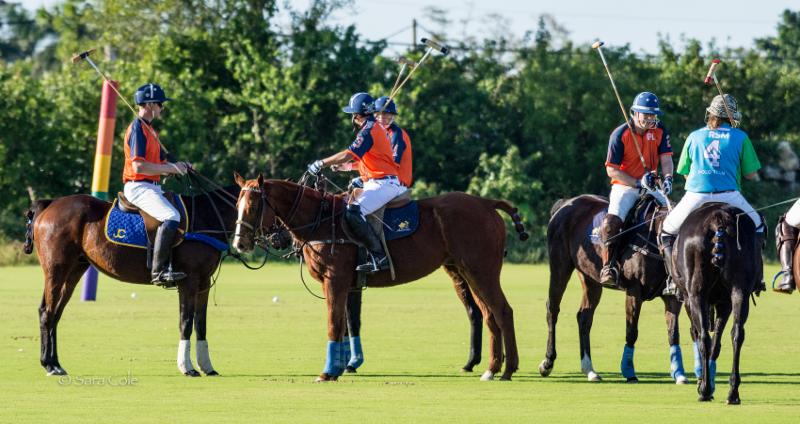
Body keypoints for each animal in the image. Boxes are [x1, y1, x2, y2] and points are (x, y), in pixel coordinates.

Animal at [23, 181, 240, 377]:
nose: (242, 244)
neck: (207, 216)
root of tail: (49, 205)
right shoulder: (189, 280)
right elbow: (186, 321)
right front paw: (188, 368)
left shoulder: (204, 281)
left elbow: (200, 322)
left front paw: (207, 367)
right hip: (56, 269)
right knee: (47, 312)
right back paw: (49, 365)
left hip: (75, 268)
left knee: (55, 312)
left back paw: (55, 363)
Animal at [231, 173, 528, 381]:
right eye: (237, 204)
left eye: (254, 205)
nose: (240, 244)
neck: (321, 220)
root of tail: (487, 203)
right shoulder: (348, 284)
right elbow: (346, 324)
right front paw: (340, 368)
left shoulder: (335, 279)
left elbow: (334, 323)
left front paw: (327, 373)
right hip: (466, 270)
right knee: (488, 314)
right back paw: (491, 368)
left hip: (481, 270)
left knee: (503, 311)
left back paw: (507, 369)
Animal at [539, 194, 689, 383]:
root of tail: (565, 204)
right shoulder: (634, 291)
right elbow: (631, 331)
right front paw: (629, 371)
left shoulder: (672, 298)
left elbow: (673, 333)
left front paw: (679, 373)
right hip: (560, 266)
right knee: (552, 309)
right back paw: (547, 362)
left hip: (590, 278)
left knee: (584, 317)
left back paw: (589, 369)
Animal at [672, 203, 762, 404]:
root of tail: (718, 219)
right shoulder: (725, 302)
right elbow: (717, 342)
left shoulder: (689, 299)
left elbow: (699, 335)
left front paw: (704, 383)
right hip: (739, 291)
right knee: (737, 334)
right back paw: (733, 392)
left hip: (696, 294)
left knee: (704, 337)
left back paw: (705, 390)